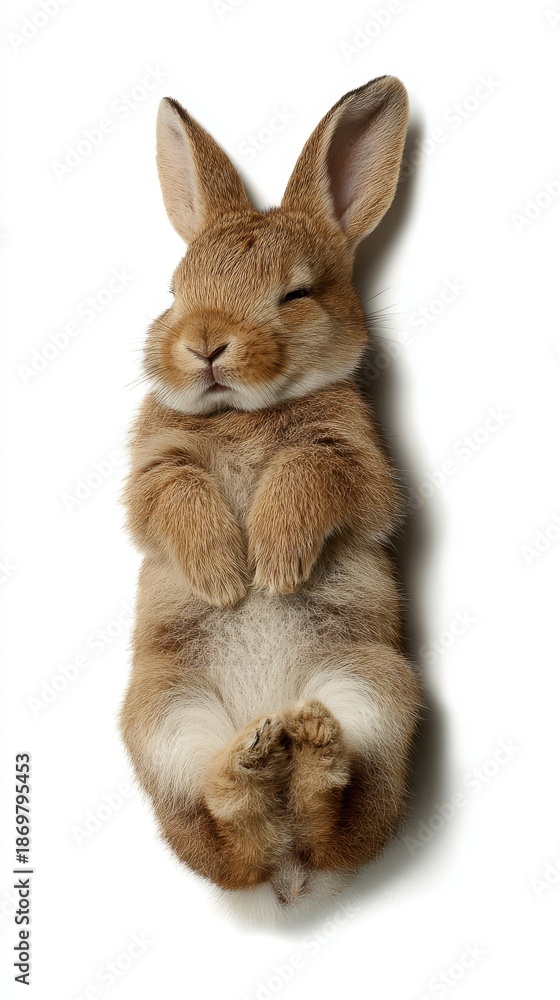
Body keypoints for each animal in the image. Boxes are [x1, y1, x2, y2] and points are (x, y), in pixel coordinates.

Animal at [119, 75, 421, 920]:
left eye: (295, 294)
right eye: (175, 291)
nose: (204, 345)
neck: (243, 412)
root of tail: (290, 876)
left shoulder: (351, 458)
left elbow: (304, 480)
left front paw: (275, 569)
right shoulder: (155, 471)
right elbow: (177, 498)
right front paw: (228, 578)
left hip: (375, 691)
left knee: (336, 821)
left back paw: (306, 750)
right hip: (164, 719)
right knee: (229, 837)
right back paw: (258, 759)